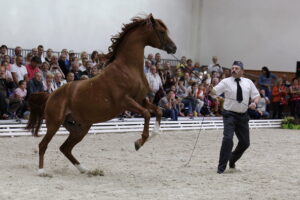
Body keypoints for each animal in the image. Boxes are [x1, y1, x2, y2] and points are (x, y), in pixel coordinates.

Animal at [26, 13, 176, 175]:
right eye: (161, 31)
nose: (174, 48)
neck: (128, 69)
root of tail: (50, 95)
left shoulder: (141, 100)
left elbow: (158, 111)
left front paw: (152, 135)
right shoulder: (126, 102)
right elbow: (147, 114)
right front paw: (139, 142)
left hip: (81, 128)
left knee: (65, 148)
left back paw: (85, 170)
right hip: (54, 124)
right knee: (43, 145)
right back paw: (42, 171)